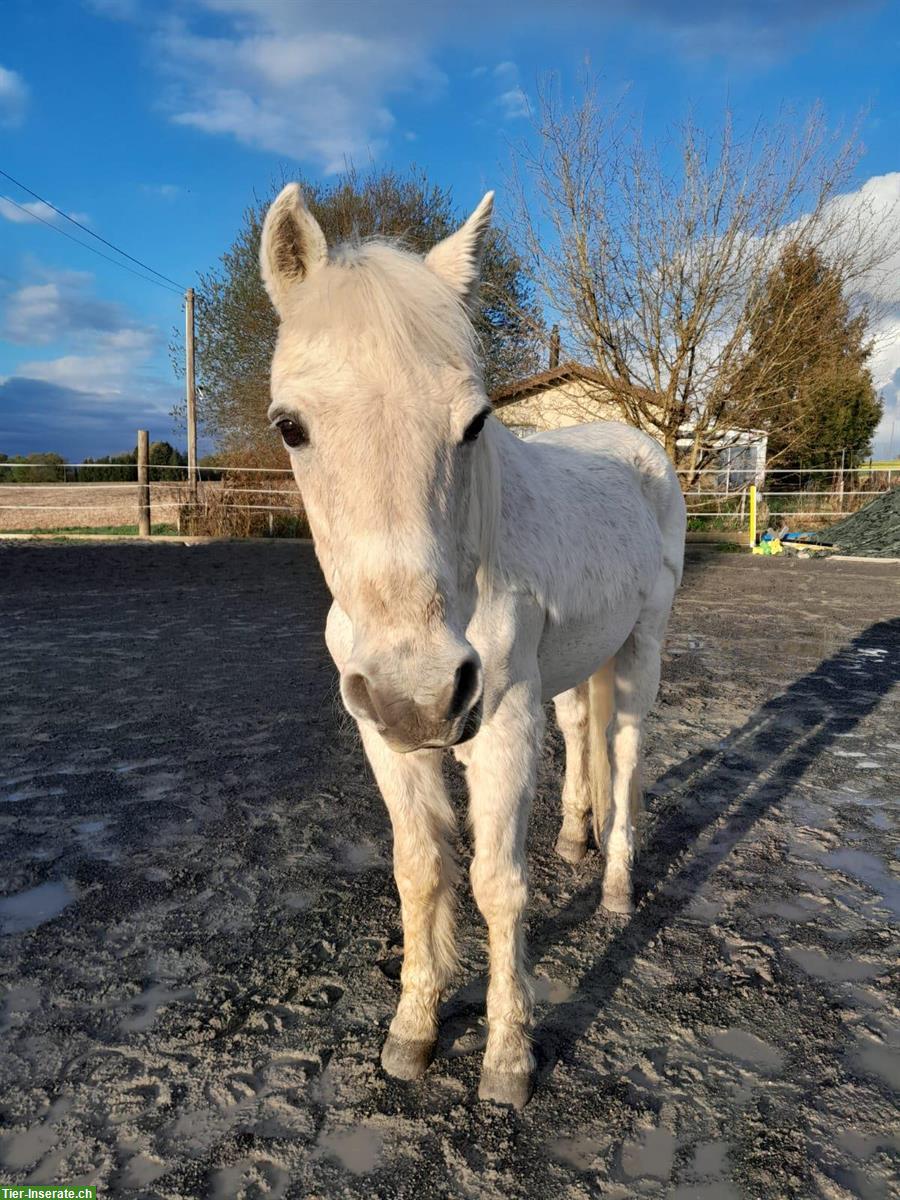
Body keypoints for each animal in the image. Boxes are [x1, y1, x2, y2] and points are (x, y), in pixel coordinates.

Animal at [264, 180, 686, 1104]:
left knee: (625, 748)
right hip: (569, 671)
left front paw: (508, 1055)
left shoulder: (500, 726)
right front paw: (413, 1032)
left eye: (475, 423)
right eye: (290, 427)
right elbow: (421, 872)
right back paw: (575, 838)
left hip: (641, 650)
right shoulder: (385, 739)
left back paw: (614, 888)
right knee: (583, 733)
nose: (419, 693)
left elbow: (498, 884)